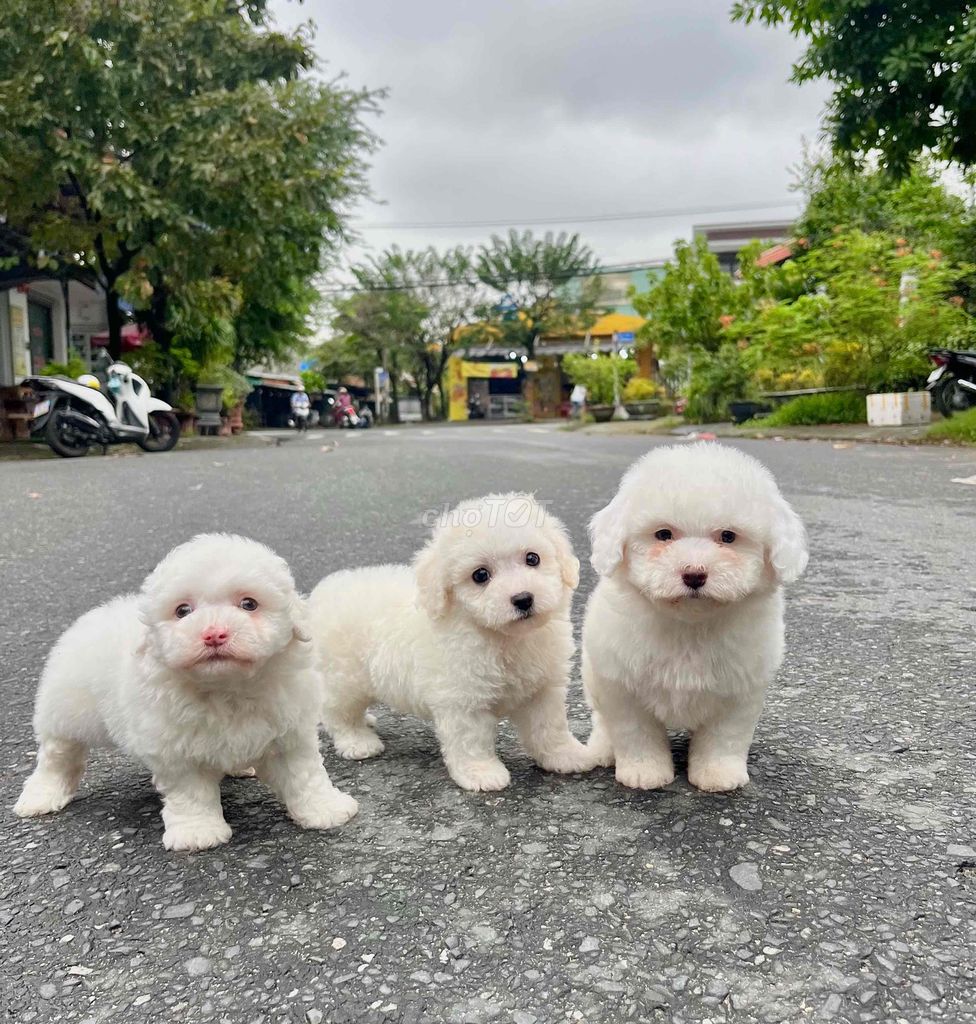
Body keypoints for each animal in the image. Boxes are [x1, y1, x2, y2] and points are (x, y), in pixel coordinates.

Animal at [14, 532, 358, 851]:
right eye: (182, 611)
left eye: (249, 604)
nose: (214, 634)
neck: (228, 689)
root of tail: (92, 617)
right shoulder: (176, 750)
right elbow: (191, 793)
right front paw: (198, 833)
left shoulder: (290, 733)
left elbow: (305, 775)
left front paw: (325, 809)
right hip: (65, 710)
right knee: (58, 754)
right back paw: (41, 795)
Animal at [309, 495, 589, 790]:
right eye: (480, 575)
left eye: (532, 558)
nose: (523, 599)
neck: (503, 637)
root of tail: (323, 593)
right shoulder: (463, 699)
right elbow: (471, 739)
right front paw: (481, 772)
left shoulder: (543, 691)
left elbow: (550, 727)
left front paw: (566, 755)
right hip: (344, 679)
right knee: (336, 712)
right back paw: (357, 741)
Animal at [581, 446, 802, 790]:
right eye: (663, 534)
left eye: (728, 536)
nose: (694, 574)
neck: (690, 625)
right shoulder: (621, 684)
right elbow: (635, 733)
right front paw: (644, 771)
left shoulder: (739, 691)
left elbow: (724, 737)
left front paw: (719, 774)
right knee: (603, 721)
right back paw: (602, 749)